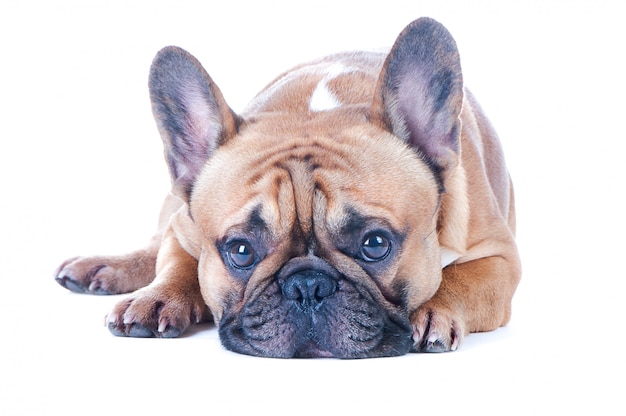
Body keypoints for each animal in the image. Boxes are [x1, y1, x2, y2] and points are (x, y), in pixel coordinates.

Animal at [56, 17, 520, 358]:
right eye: (241, 250)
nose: (307, 287)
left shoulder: (499, 257)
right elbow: (176, 263)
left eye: (375, 244)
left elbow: (459, 280)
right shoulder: (183, 229)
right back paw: (104, 267)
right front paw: (158, 297)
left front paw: (433, 310)